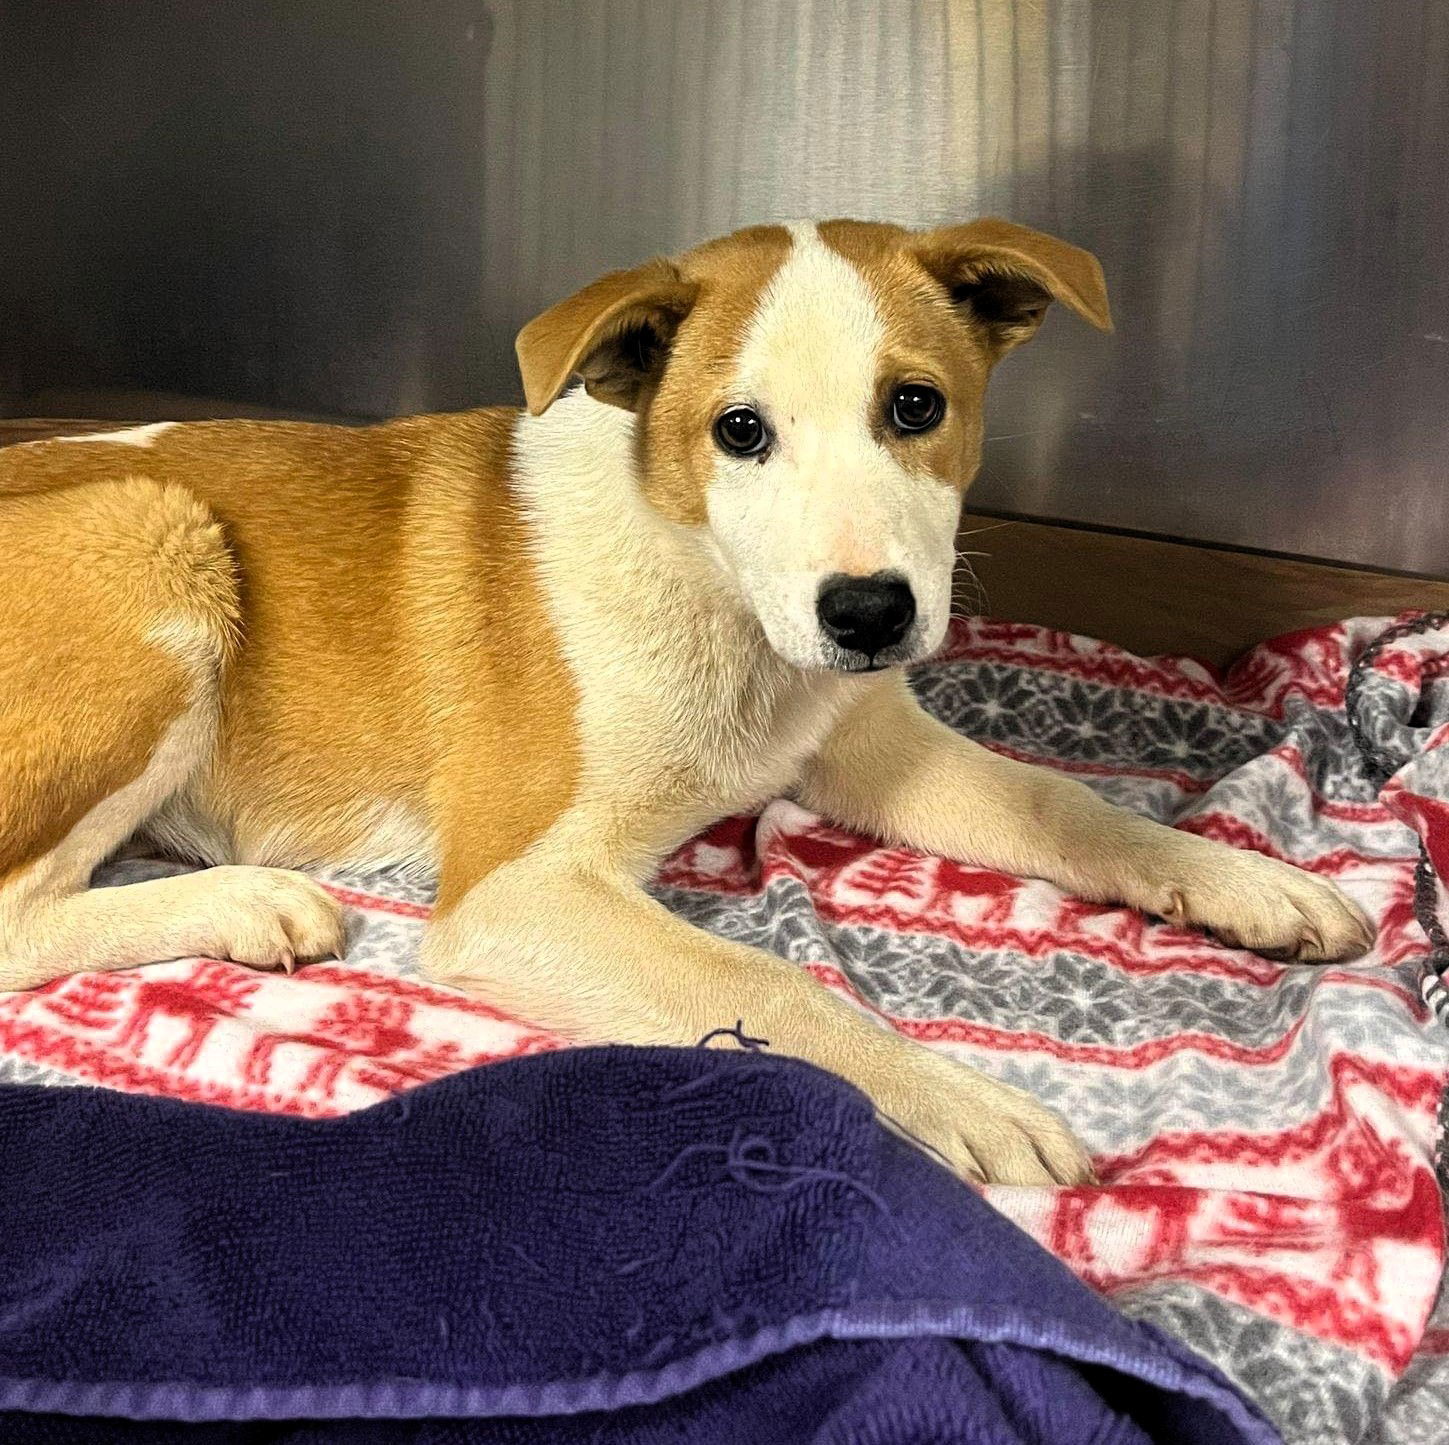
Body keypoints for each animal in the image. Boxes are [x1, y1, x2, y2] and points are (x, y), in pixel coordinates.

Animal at [0, 217, 1367, 1182]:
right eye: (739, 431)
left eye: (916, 405)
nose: (868, 613)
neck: (713, 591)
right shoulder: (516, 891)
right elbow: (772, 985)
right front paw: (965, 1101)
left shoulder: (868, 745)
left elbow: (1066, 804)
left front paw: (1246, 880)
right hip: (156, 536)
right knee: (20, 915)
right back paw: (247, 902)